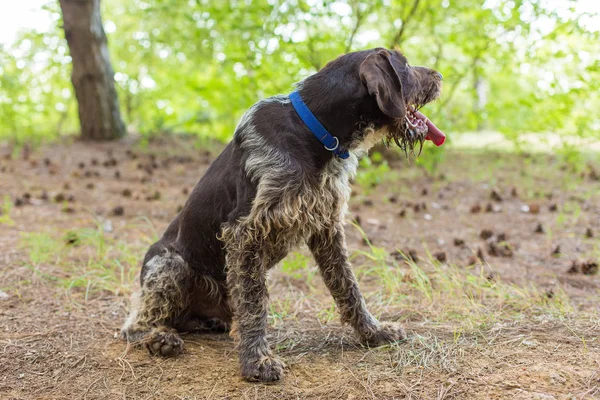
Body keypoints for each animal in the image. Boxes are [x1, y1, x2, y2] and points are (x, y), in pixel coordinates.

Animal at [122, 47, 442, 382]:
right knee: (135, 323)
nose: (439, 76)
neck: (314, 133)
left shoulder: (326, 226)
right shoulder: (244, 232)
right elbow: (253, 303)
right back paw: (159, 338)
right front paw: (256, 361)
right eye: (405, 65)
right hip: (170, 265)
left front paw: (373, 333)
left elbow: (348, 287)